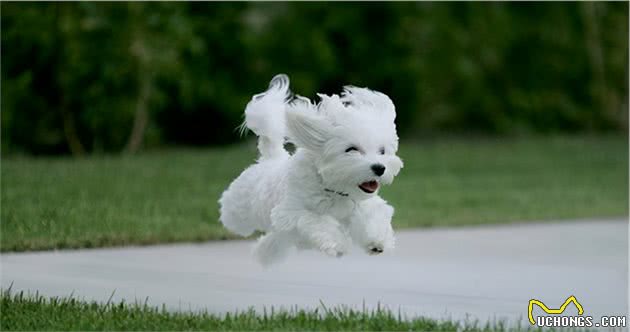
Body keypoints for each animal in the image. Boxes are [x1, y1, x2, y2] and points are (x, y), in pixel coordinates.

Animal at [217, 74, 404, 266]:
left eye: (382, 151)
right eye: (351, 149)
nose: (380, 168)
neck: (334, 190)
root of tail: (272, 158)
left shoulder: (362, 206)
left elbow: (373, 216)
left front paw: (377, 241)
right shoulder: (290, 213)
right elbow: (315, 221)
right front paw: (338, 244)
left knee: (274, 241)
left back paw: (264, 253)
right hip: (241, 210)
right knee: (235, 218)